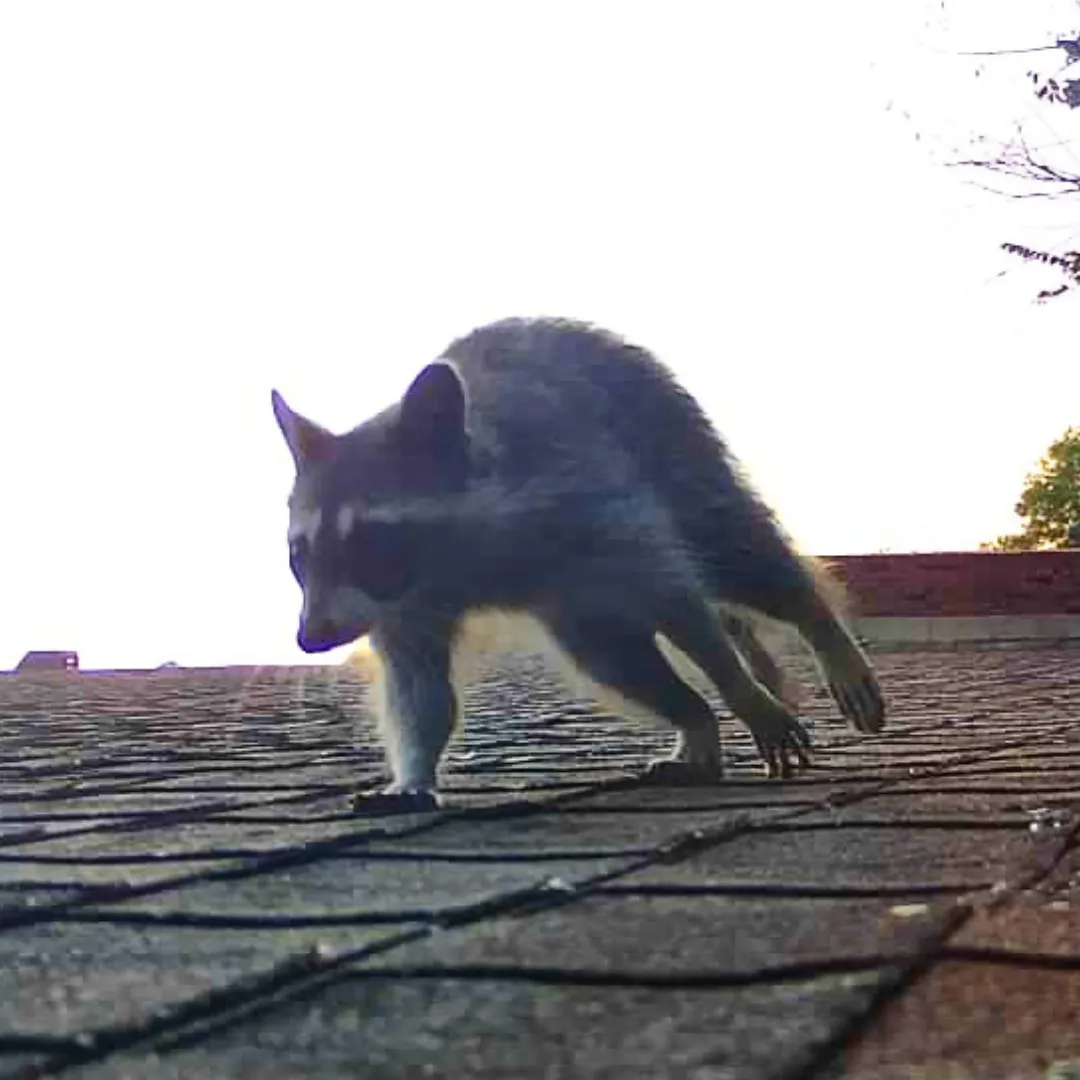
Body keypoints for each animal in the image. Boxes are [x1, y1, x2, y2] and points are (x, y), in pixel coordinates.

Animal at [271, 317, 885, 814]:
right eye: (299, 554)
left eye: (370, 542)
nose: (309, 638)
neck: (447, 564)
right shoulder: (407, 610)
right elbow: (419, 688)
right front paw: (415, 773)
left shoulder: (591, 499)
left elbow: (683, 606)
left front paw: (742, 691)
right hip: (579, 610)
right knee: (617, 661)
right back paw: (695, 722)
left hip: (673, 444)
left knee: (737, 552)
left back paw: (817, 628)